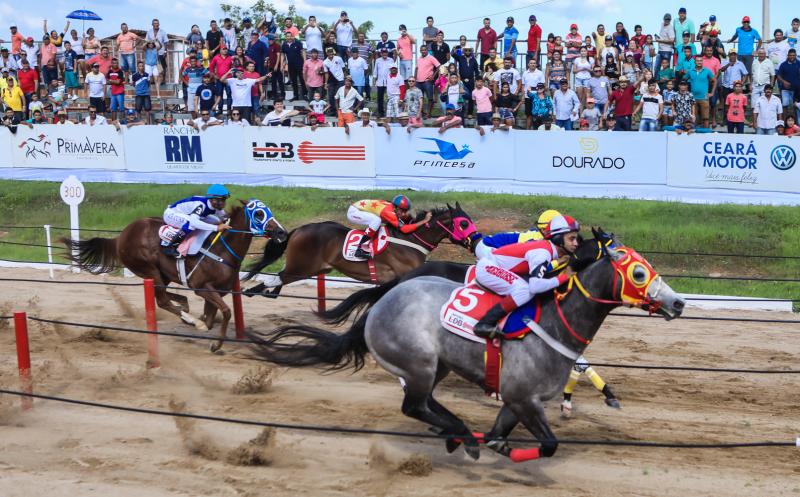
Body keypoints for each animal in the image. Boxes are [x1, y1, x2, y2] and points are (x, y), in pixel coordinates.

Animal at [62, 199, 287, 352]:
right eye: (259, 213)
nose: (282, 233)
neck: (222, 250)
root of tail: (121, 236)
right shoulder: (202, 286)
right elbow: (225, 312)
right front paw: (215, 343)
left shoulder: (218, 291)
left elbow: (212, 316)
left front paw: (205, 326)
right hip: (149, 269)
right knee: (161, 299)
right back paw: (190, 318)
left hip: (163, 273)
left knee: (164, 296)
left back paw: (187, 313)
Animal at [243, 202, 478, 296]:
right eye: (464, 224)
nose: (477, 240)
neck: (411, 240)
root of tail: (298, 230)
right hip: (300, 267)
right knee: (276, 278)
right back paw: (253, 291)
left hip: (314, 268)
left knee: (277, 278)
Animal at [247, 232, 685, 462]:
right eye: (640, 273)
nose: (678, 303)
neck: (555, 322)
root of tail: (385, 297)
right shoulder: (523, 397)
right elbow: (548, 445)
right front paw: (496, 446)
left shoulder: (517, 400)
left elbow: (508, 431)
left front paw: (495, 441)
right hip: (419, 362)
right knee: (413, 405)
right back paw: (459, 433)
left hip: (436, 365)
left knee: (425, 403)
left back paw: (457, 432)